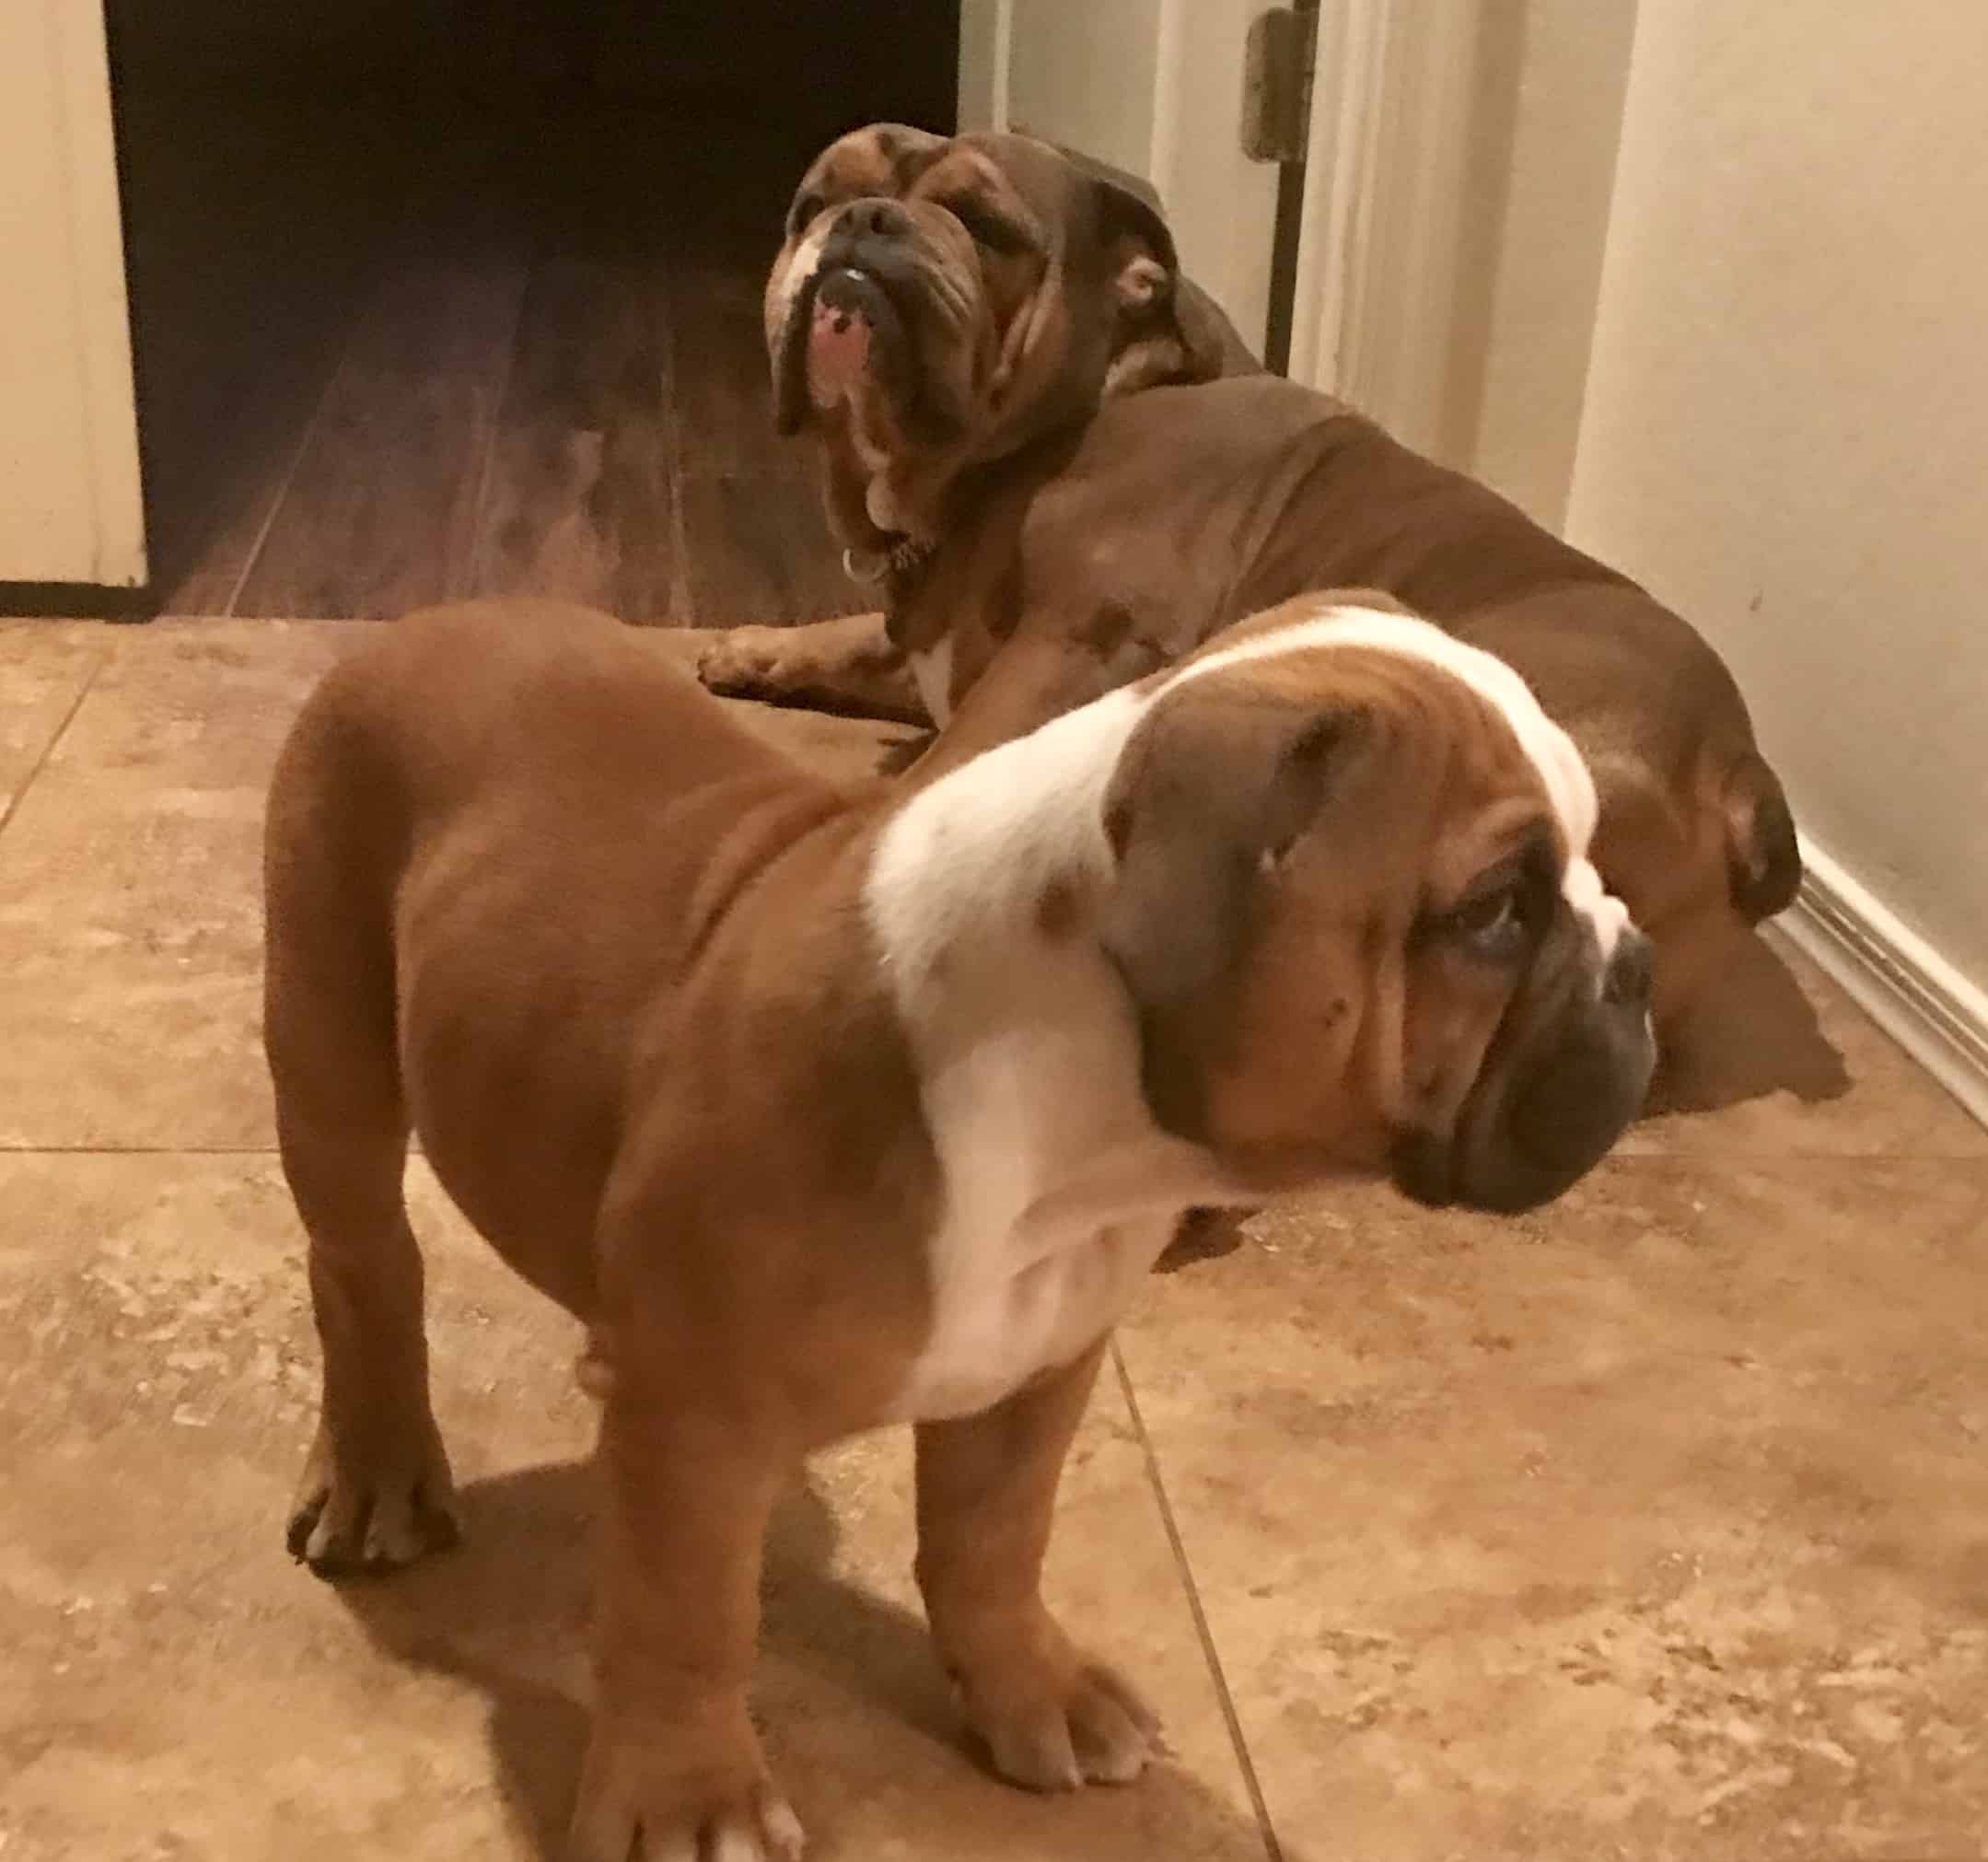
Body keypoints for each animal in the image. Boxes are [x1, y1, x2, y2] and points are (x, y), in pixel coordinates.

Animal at [266, 592, 1653, 1859]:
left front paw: (1031, 1688)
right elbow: (686, 1612)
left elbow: (991, 1545)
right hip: (330, 1050)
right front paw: (689, 1797)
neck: (1082, 1140)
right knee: (364, 1269)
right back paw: (380, 1469)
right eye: (1494, 913)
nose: (1629, 958)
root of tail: (433, 618)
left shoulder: (1036, 1373)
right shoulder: (698, 1422)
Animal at [699, 124, 1801, 1044]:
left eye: (984, 225)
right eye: (813, 201)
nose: (860, 220)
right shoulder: (940, 633)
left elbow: (946, 762)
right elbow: (859, 635)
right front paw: (753, 647)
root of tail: (1737, 771)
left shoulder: (1072, 645)